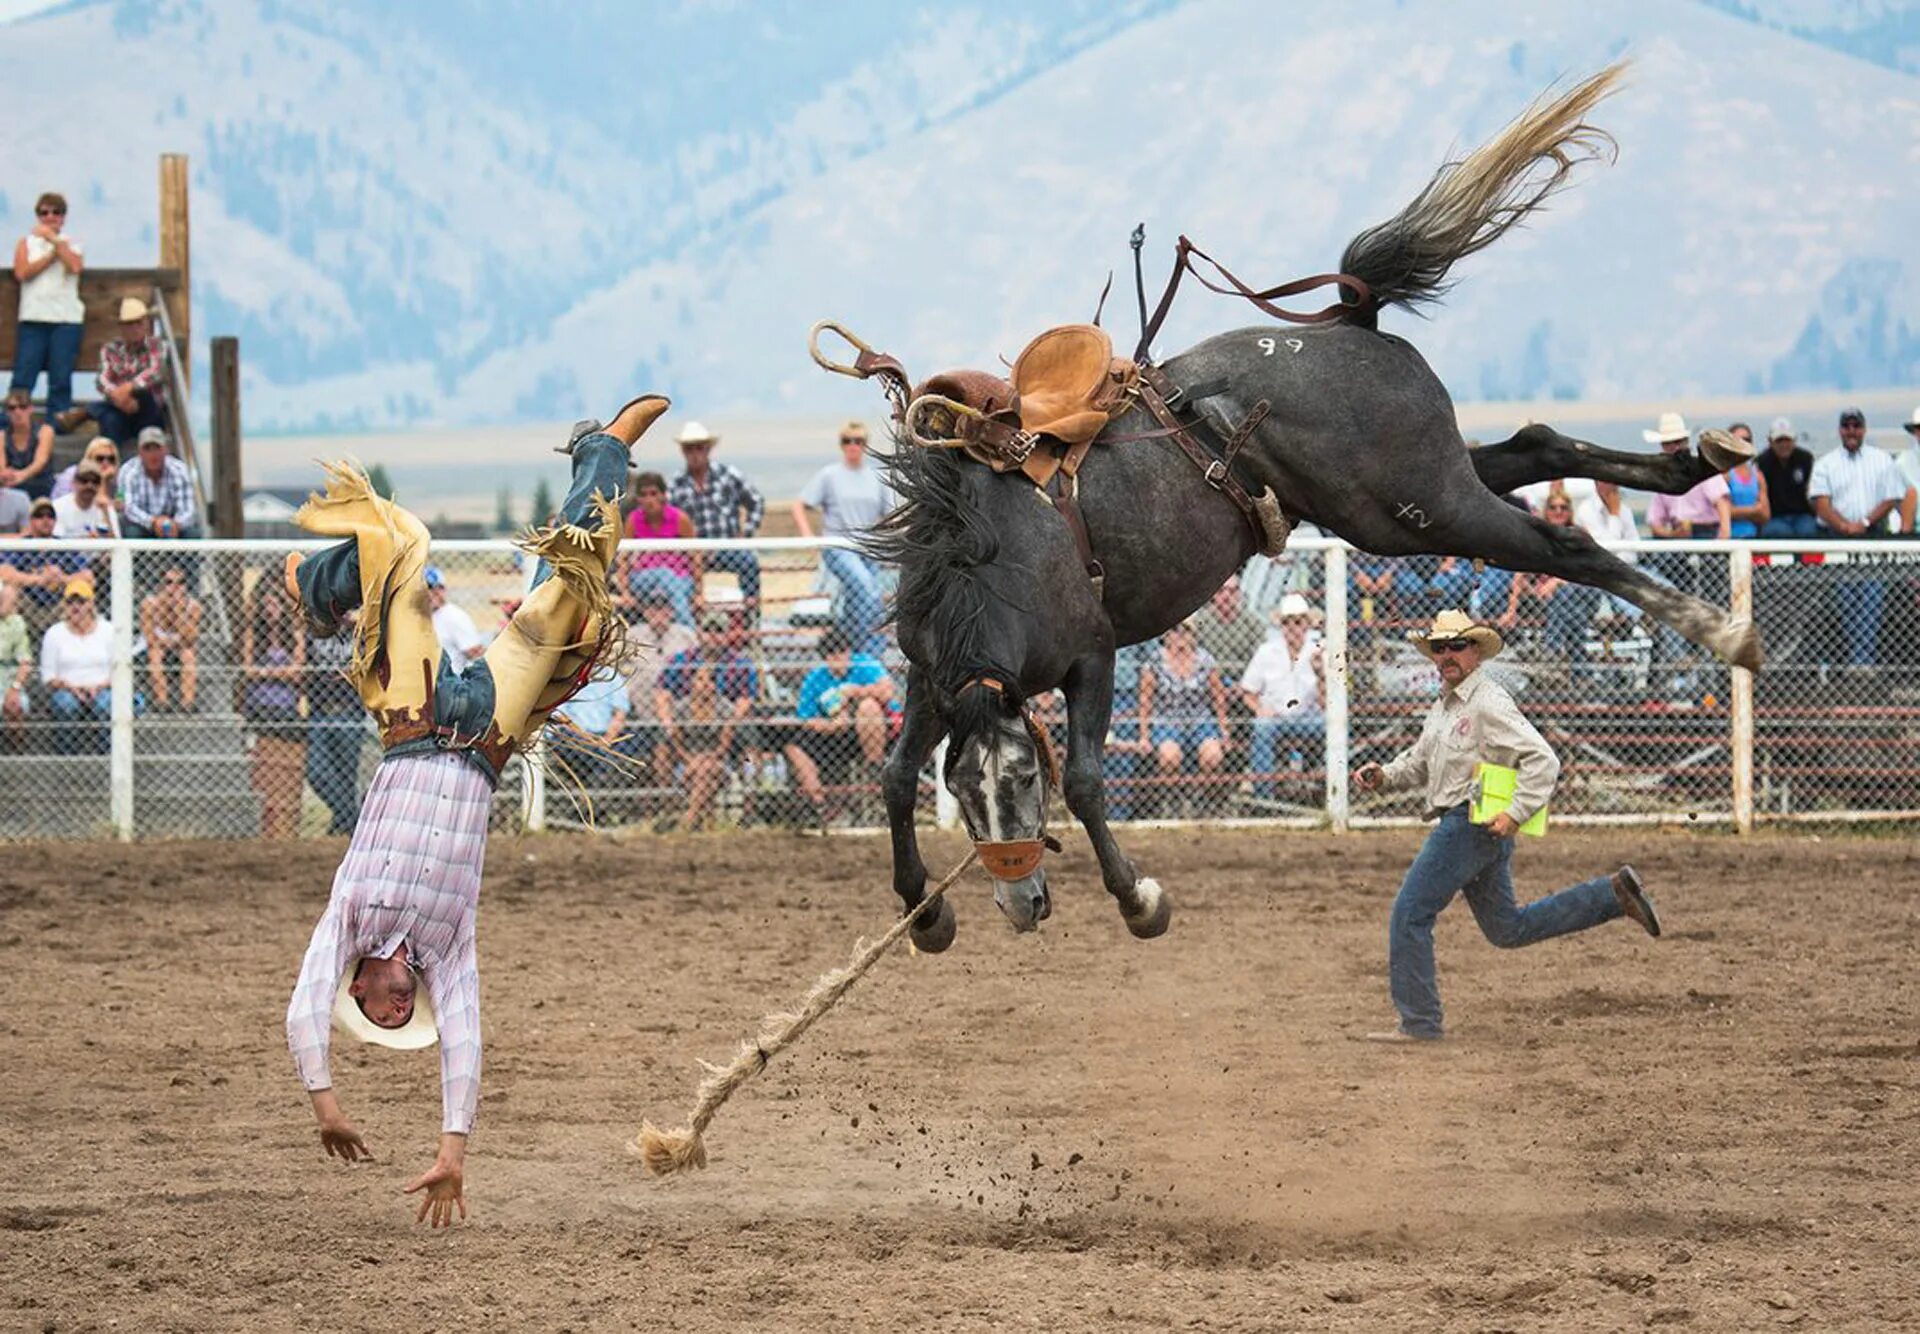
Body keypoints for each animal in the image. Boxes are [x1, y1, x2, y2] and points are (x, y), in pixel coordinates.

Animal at [806, 65, 1758, 948]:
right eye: (965, 792)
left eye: (1020, 782)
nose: (1021, 905)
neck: (994, 557)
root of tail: (1348, 322)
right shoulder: (931, 675)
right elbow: (894, 777)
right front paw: (926, 912)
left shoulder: (1093, 656)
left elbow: (1085, 778)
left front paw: (1139, 899)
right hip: (1418, 487)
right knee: (1538, 445)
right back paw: (1699, 460)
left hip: (1415, 507)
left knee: (1561, 542)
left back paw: (1723, 629)